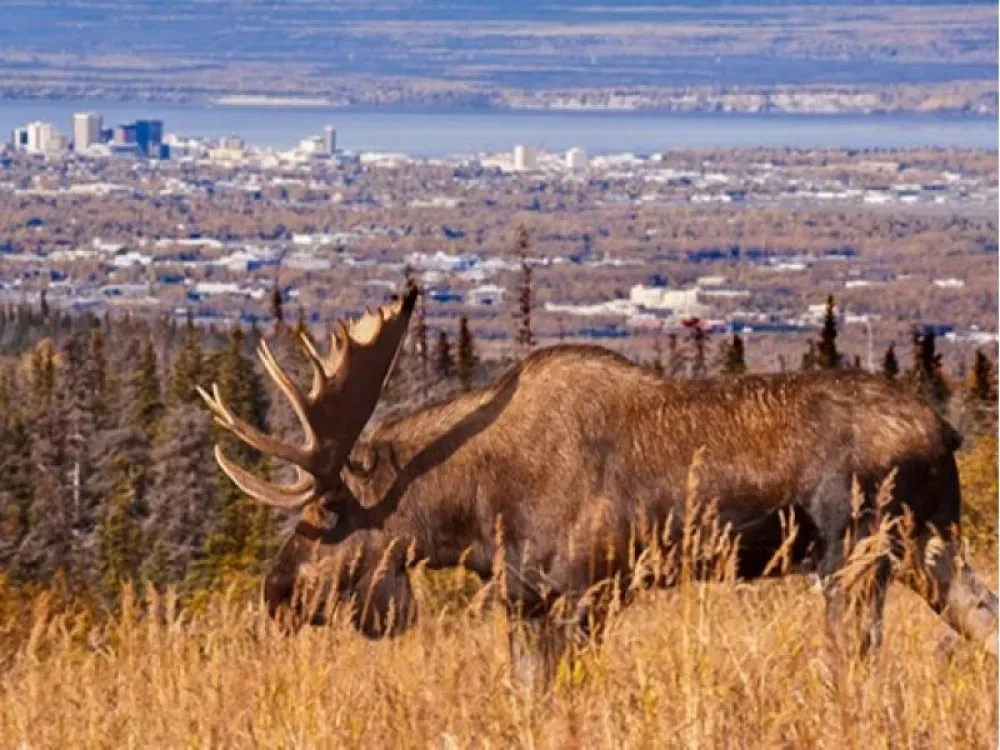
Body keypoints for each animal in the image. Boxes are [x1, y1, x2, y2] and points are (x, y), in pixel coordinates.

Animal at [198, 281, 997, 680]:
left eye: (323, 518)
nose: (276, 593)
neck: (472, 513)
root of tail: (944, 431)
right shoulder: (525, 602)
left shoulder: (588, 592)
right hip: (927, 545)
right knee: (983, 618)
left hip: (855, 557)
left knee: (857, 662)